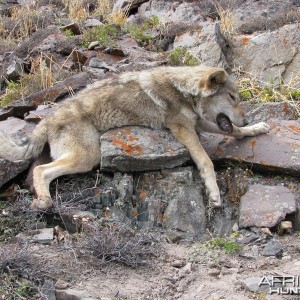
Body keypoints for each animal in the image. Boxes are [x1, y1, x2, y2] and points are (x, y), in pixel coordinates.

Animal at [0, 66, 270, 210]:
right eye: (233, 98)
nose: (246, 118)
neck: (183, 89)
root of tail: (47, 120)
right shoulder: (183, 129)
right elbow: (206, 161)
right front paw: (214, 194)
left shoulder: (199, 123)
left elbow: (233, 131)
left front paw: (255, 128)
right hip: (87, 157)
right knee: (40, 171)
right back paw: (44, 201)